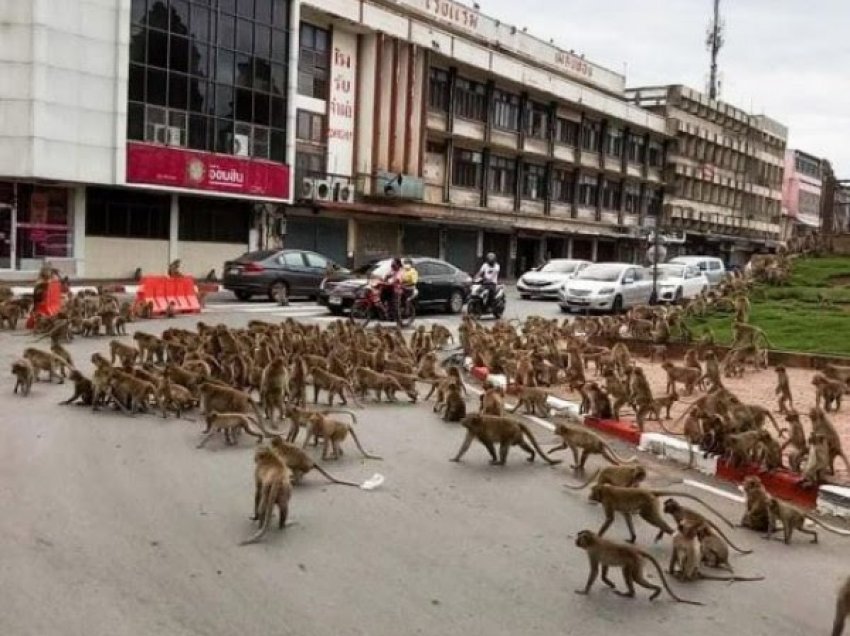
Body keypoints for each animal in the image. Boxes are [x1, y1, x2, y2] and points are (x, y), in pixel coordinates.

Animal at [588, 484, 732, 544]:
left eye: (592, 491)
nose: (589, 496)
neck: (604, 490)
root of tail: (651, 492)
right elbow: (627, 516)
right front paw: (633, 538)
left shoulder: (607, 501)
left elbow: (610, 519)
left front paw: (597, 537)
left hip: (649, 504)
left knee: (648, 517)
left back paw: (671, 532)